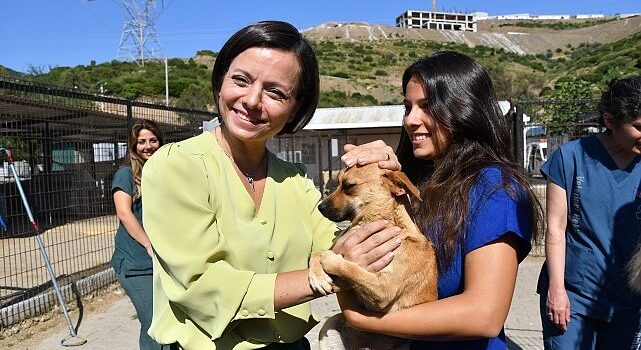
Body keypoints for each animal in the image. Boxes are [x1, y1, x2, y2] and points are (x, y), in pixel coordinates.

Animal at [308, 164, 438, 350]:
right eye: (338, 182)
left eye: (348, 186)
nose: (320, 207)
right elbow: (316, 253)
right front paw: (317, 276)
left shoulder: (383, 289)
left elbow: (351, 268)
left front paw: (331, 260)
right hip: (329, 326)